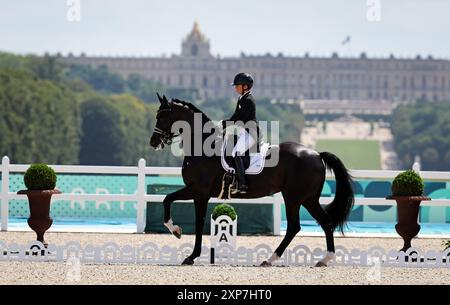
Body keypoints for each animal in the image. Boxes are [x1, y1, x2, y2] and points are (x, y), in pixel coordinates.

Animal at [149, 94, 354, 266]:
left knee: (295, 226)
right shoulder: (199, 193)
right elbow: (177, 206)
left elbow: (180, 209)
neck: (203, 146)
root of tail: (316, 154)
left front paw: (182, 241)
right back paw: (324, 259)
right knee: (324, 223)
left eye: (162, 117)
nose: (153, 143)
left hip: (294, 198)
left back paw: (272, 259)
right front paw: (183, 242)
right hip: (308, 199)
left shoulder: (198, 191)